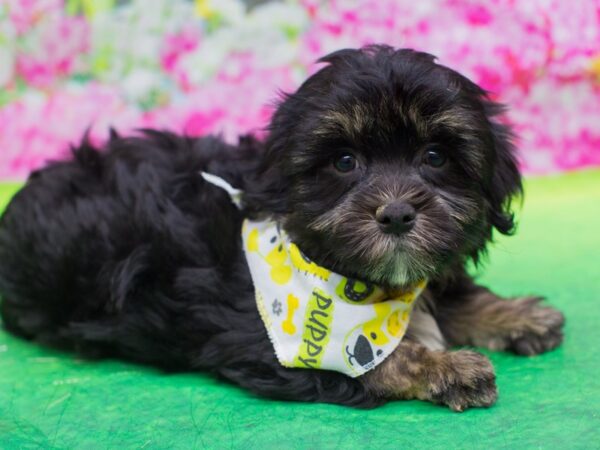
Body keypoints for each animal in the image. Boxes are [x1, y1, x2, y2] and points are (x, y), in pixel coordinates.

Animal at [0, 46, 564, 412]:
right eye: (344, 162)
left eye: (434, 157)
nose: (398, 214)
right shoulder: (260, 338)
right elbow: (375, 361)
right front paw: (445, 368)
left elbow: (447, 295)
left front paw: (514, 314)